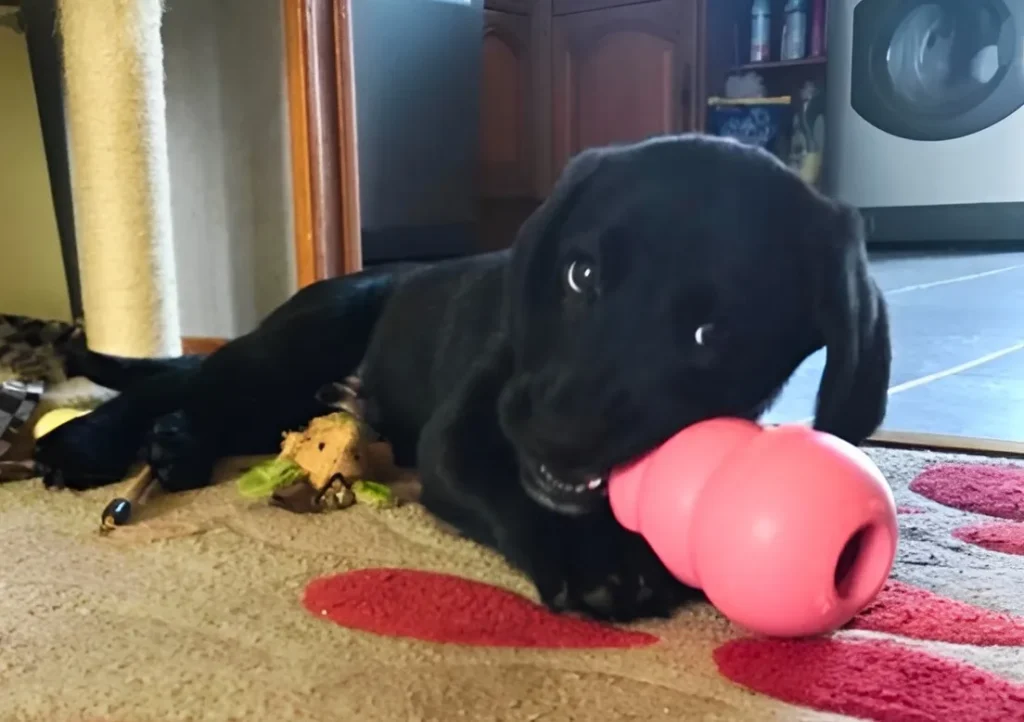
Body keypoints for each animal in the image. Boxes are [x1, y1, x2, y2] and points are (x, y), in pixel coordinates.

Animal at [36, 134, 888, 618]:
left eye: (715, 335)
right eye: (580, 274)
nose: (556, 438)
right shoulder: (462, 435)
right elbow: (508, 488)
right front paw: (599, 563)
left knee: (207, 400)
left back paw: (174, 447)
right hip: (296, 345)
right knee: (185, 378)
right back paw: (87, 444)